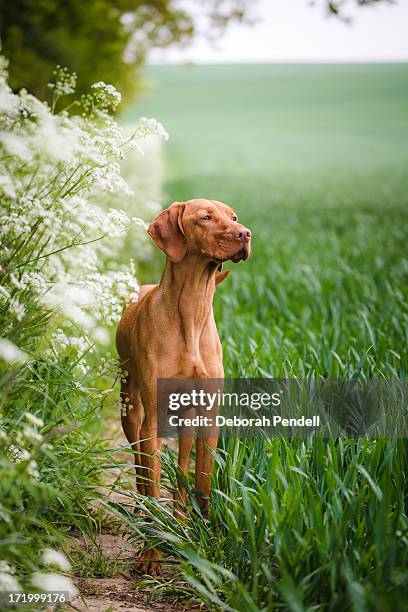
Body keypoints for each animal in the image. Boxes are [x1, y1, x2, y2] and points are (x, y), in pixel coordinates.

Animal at [115, 198, 252, 572]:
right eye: (205, 218)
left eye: (233, 217)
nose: (246, 234)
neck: (192, 307)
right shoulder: (153, 420)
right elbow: (151, 481)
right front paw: (151, 554)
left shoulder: (208, 415)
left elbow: (201, 481)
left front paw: (205, 538)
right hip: (131, 409)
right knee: (141, 467)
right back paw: (143, 513)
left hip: (186, 418)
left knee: (180, 471)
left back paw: (180, 518)